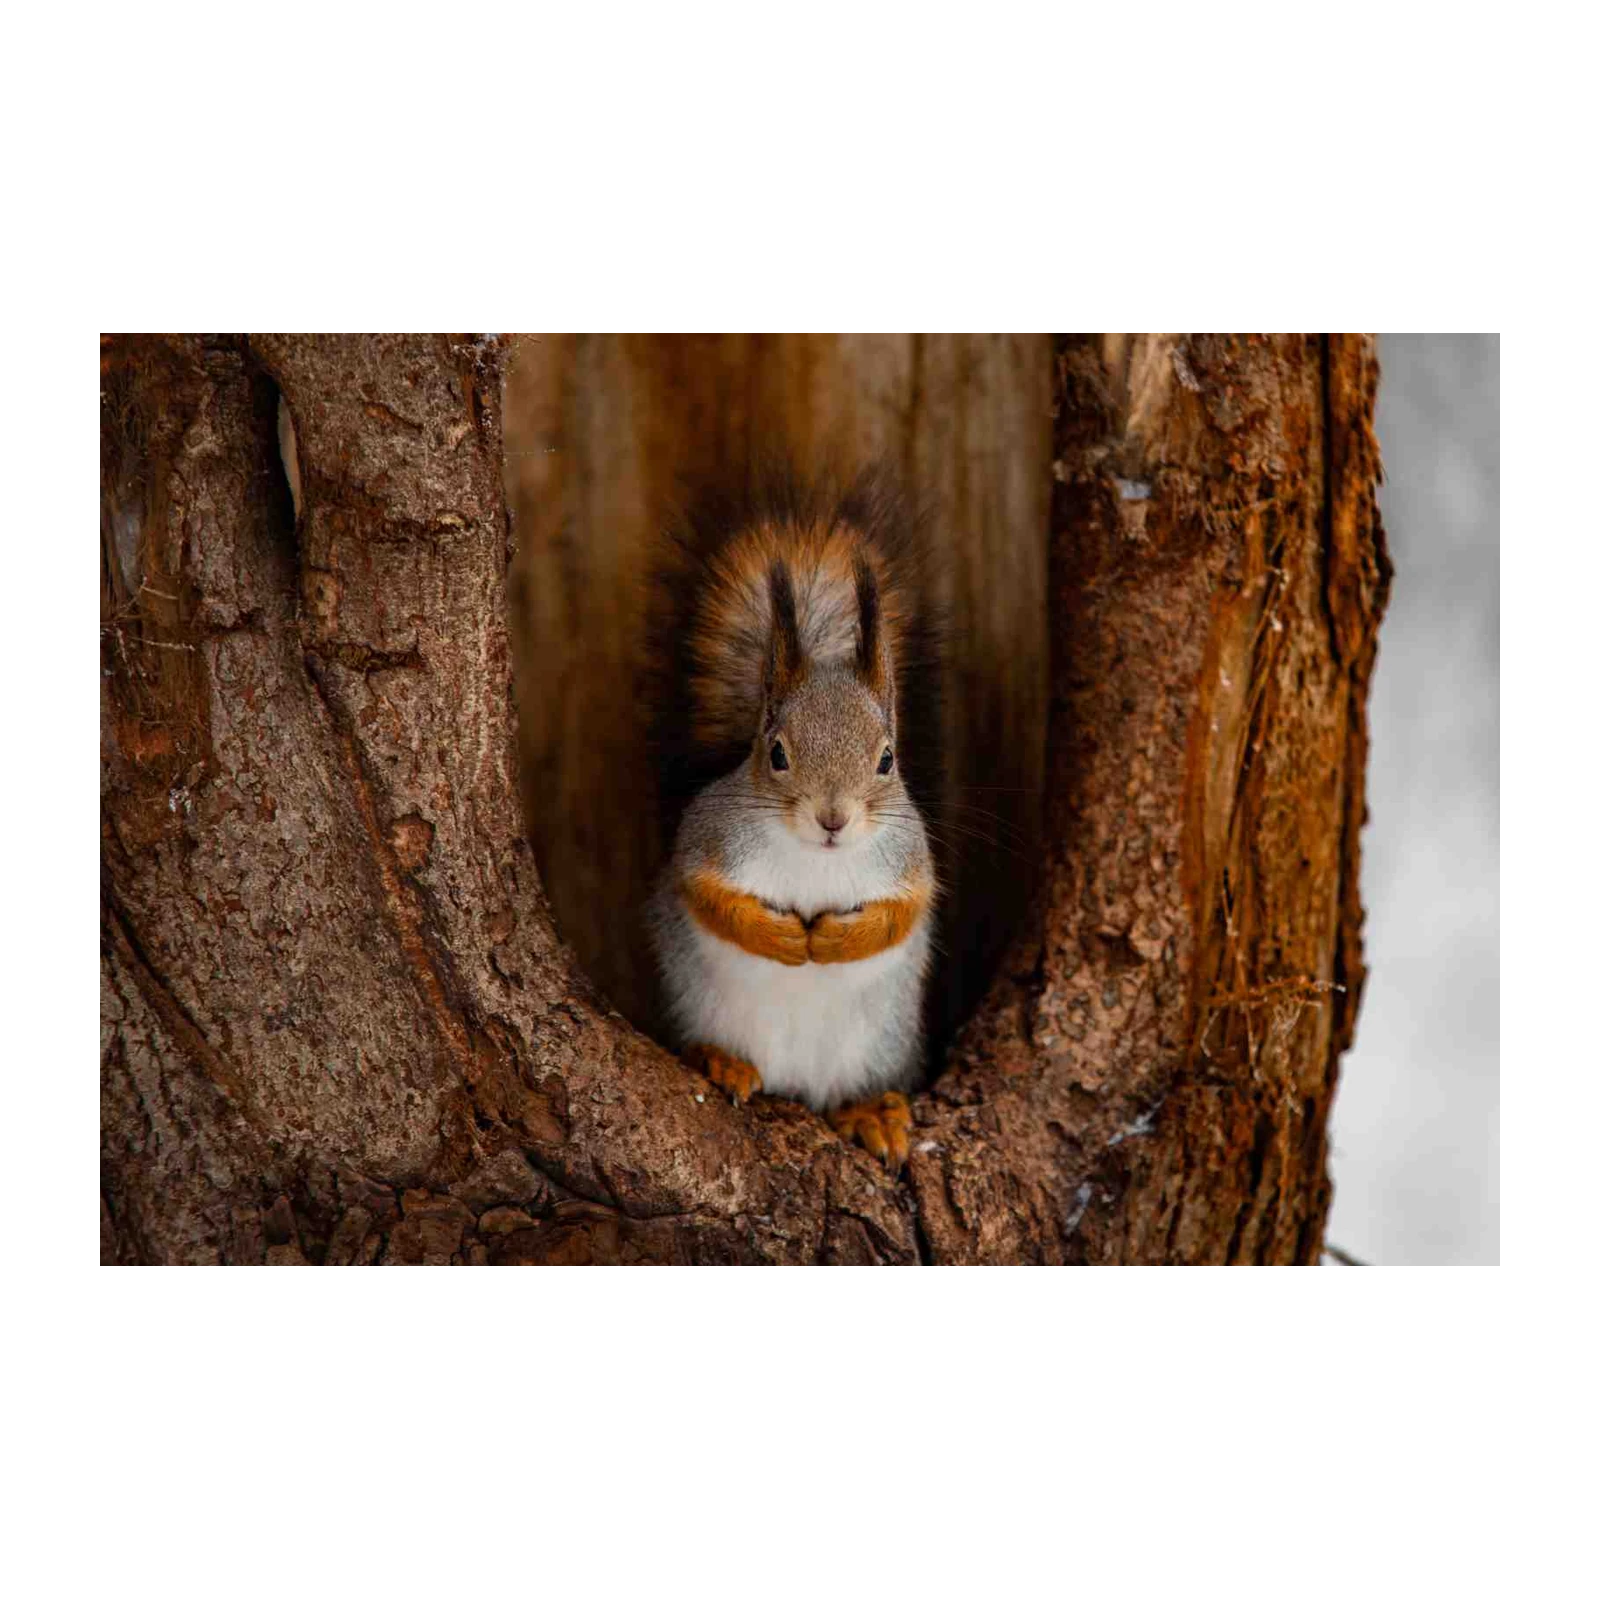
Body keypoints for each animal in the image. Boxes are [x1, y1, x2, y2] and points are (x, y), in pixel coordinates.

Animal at [646, 468, 938, 1172]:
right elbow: (709, 896)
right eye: (776, 753)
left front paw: (832, 941)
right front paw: (782, 939)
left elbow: (901, 914)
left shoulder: (910, 859)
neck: (817, 858)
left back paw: (871, 1112)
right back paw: (720, 1062)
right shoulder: (710, 841)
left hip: (878, 1048)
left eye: (887, 758)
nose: (833, 819)